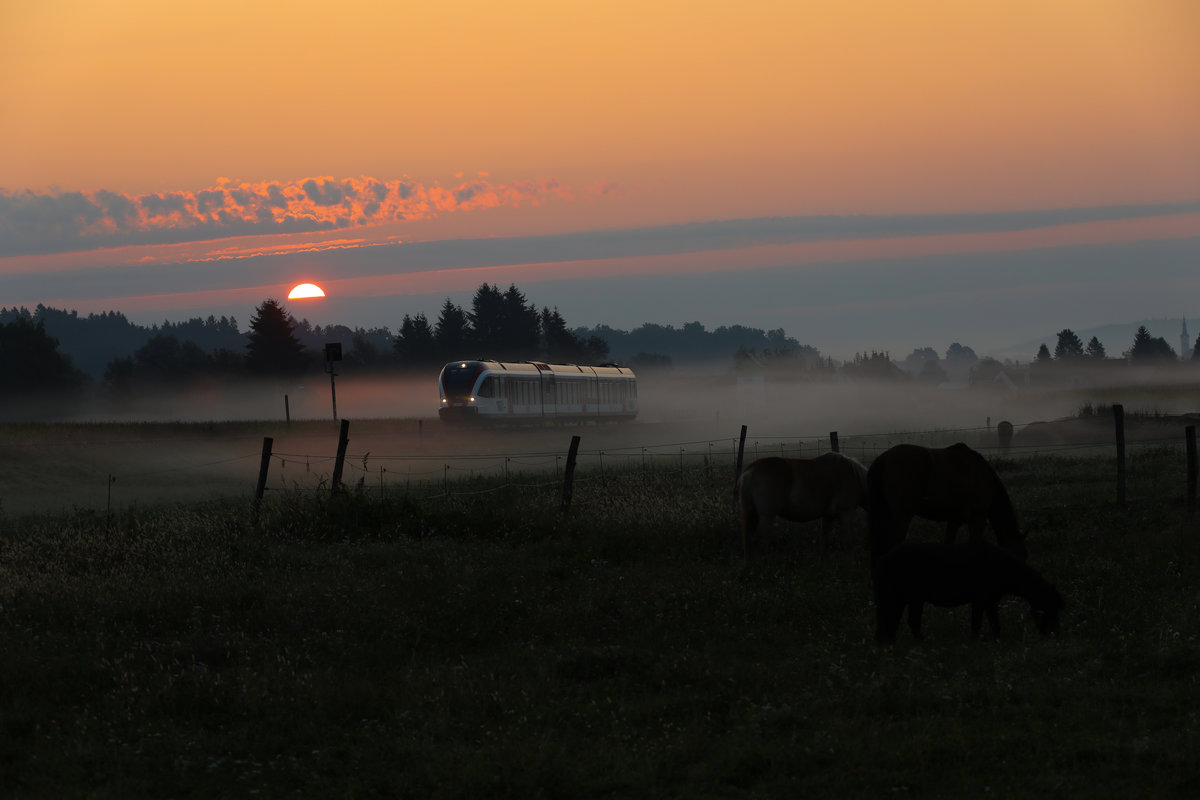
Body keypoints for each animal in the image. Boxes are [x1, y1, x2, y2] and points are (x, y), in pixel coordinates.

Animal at [734, 453, 868, 561]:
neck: (853, 476)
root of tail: (750, 470)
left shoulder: (828, 516)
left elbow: (824, 540)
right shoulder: (846, 513)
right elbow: (847, 541)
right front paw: (850, 564)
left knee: (749, 539)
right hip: (766, 516)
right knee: (760, 540)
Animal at [868, 441, 1027, 566]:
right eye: (1020, 555)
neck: (984, 477)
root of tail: (884, 458)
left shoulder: (954, 521)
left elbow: (948, 543)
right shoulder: (977, 520)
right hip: (901, 517)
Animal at [878, 537, 1065, 642]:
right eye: (1049, 607)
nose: (1055, 633)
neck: (1003, 567)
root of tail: (885, 558)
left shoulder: (990, 601)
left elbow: (995, 624)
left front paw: (998, 642)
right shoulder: (980, 599)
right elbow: (976, 623)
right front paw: (974, 643)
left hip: (900, 597)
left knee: (892, 619)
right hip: (914, 598)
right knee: (911, 621)